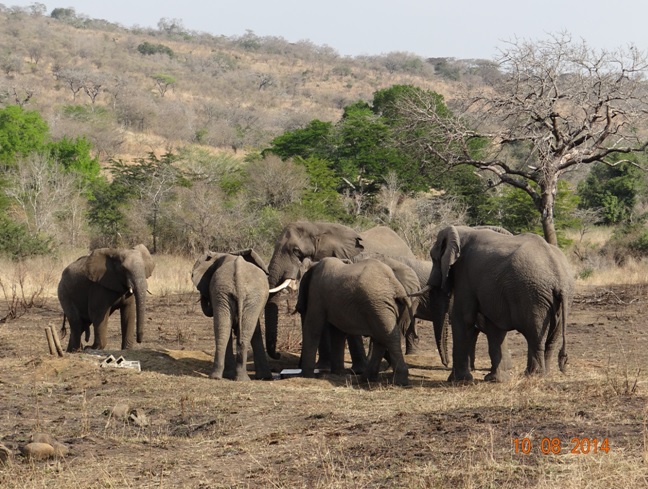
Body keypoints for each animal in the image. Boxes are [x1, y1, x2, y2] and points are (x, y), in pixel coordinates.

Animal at [191, 248, 274, 382]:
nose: (203, 296)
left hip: (231, 294)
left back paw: (221, 377)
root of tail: (239, 279)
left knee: (225, 331)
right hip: (231, 294)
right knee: (234, 332)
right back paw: (237, 378)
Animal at [294, 255, 412, 386]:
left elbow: (313, 328)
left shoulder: (316, 292)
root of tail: (397, 287)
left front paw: (306, 376)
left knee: (387, 337)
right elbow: (337, 333)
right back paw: (367, 378)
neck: (314, 264)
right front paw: (338, 373)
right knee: (382, 338)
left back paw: (398, 381)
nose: (298, 368)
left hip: (378, 306)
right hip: (386, 307)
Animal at [428, 225, 576, 382]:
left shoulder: (464, 273)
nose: (445, 363)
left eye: (433, 258)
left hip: (533, 295)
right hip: (561, 298)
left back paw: (533, 376)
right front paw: (495, 380)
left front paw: (458, 381)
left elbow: (463, 317)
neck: (462, 230)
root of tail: (558, 274)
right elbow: (494, 325)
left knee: (535, 336)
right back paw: (543, 375)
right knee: (552, 339)